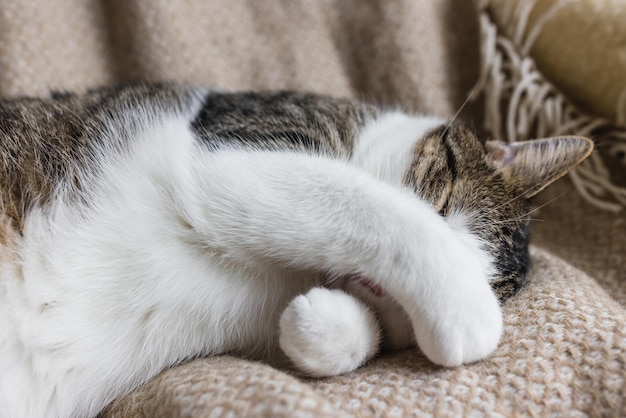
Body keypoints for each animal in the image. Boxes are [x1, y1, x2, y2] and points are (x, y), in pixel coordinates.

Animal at [0, 82, 588, 418]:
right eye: (440, 207)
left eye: (402, 314)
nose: (376, 286)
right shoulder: (230, 157)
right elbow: (366, 203)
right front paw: (468, 313)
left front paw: (320, 325)